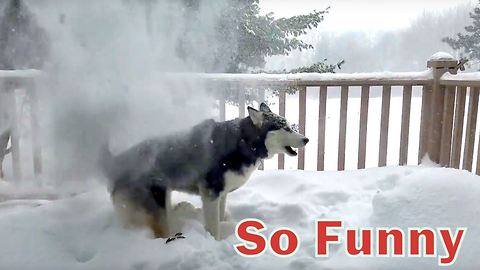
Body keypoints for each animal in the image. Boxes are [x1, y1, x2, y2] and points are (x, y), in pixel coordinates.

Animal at [103, 102, 310, 239]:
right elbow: (213, 225)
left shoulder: (222, 193)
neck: (244, 142)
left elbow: (220, 215)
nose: (306, 139)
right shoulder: (211, 192)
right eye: (284, 128)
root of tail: (117, 162)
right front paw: (215, 241)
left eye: (289, 125)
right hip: (155, 202)